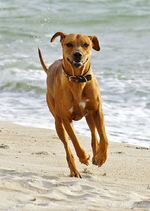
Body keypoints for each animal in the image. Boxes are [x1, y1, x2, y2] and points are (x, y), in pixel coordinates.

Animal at [38, 31, 108, 178]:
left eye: (86, 44)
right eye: (69, 44)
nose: (77, 54)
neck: (78, 80)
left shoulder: (97, 110)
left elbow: (104, 137)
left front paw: (101, 157)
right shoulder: (66, 118)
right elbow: (75, 140)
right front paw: (83, 157)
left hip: (89, 115)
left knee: (93, 133)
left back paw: (96, 154)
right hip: (58, 122)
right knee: (67, 146)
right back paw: (74, 170)